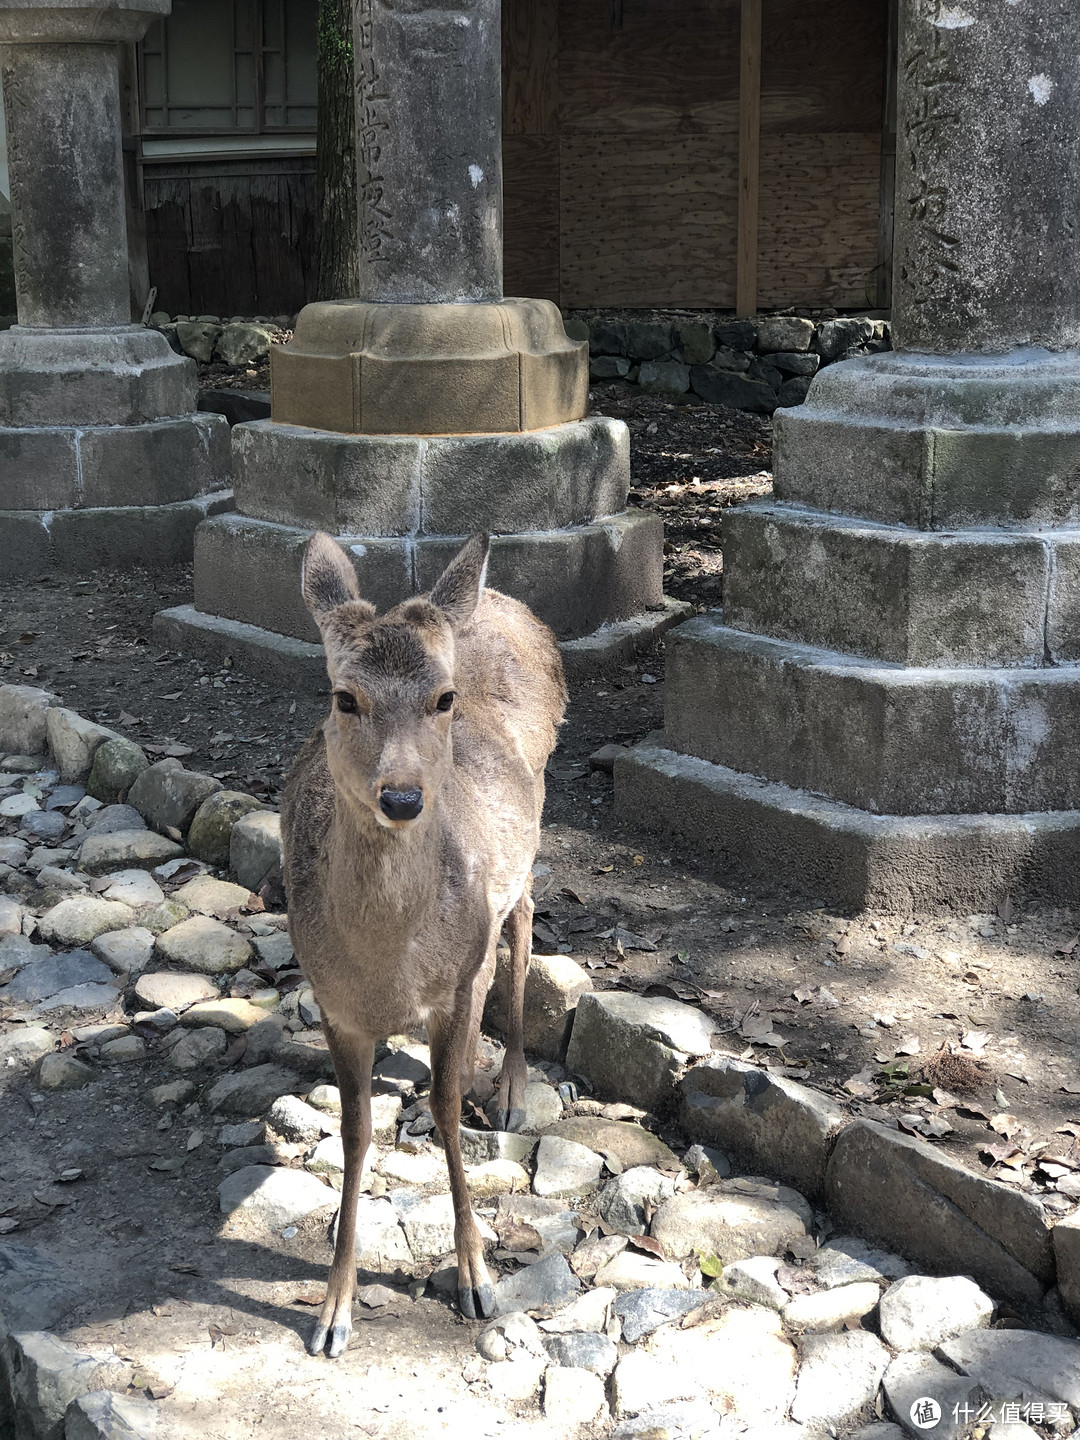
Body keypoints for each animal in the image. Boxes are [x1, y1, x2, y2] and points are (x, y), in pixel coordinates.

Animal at [279, 529, 567, 1359]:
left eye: (443, 698)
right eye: (344, 696)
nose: (402, 797)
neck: (389, 970)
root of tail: (499, 598)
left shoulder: (456, 984)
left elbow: (442, 1104)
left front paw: (477, 1278)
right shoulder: (335, 1003)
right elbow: (354, 1132)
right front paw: (332, 1313)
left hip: (536, 815)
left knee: (523, 916)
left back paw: (509, 1093)